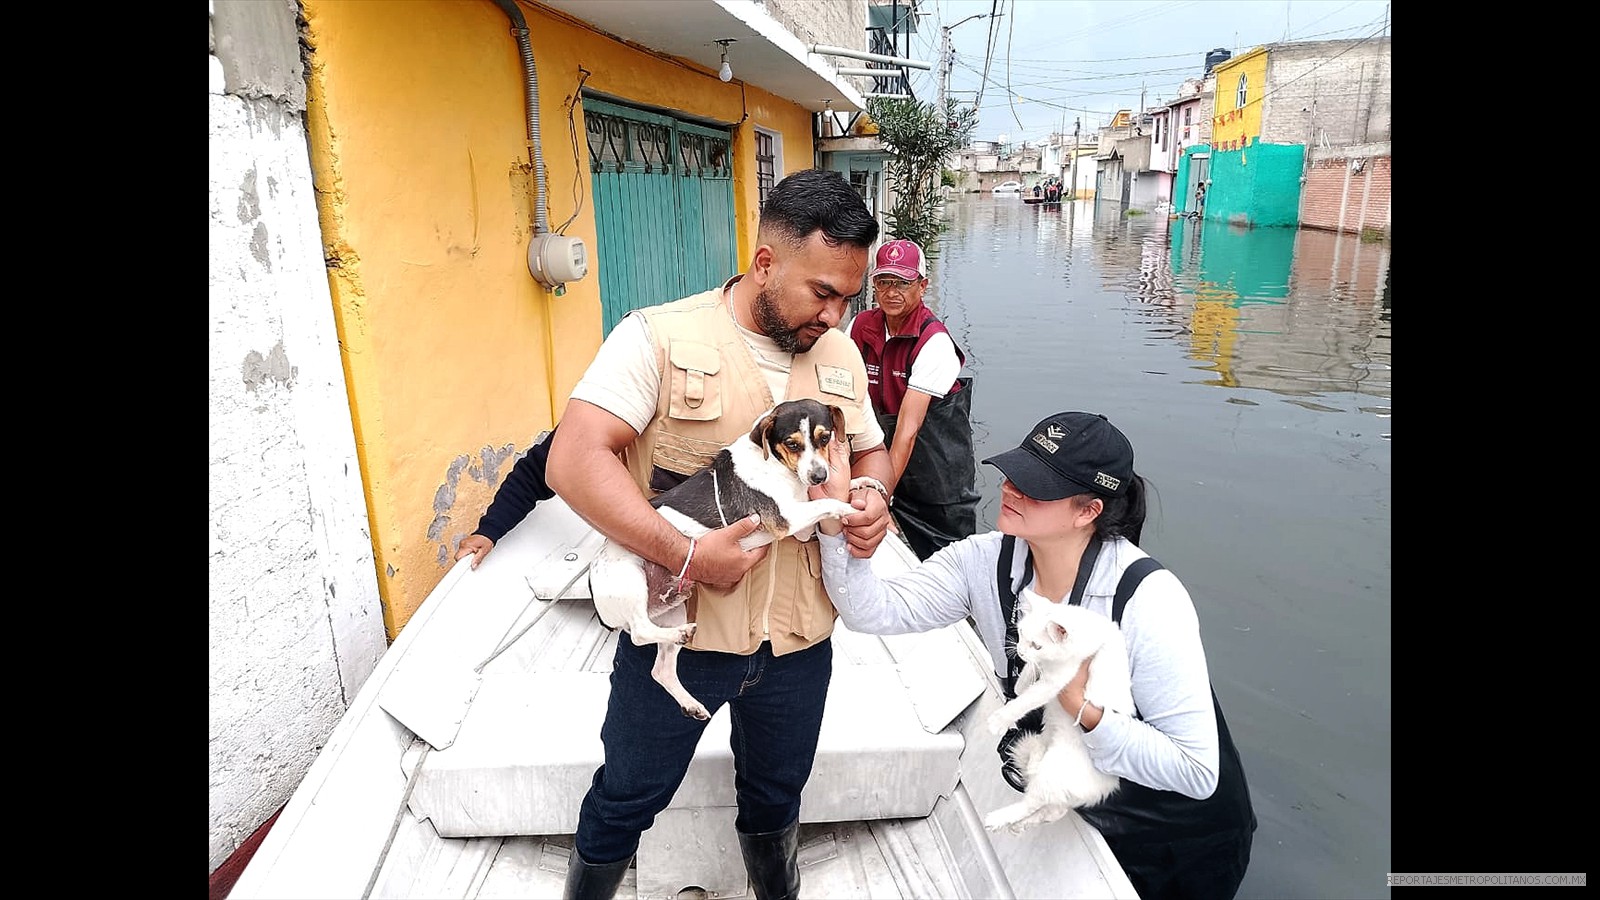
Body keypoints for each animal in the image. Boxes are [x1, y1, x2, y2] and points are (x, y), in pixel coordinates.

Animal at [592, 395, 889, 717]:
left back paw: (691, 703)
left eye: (825, 438)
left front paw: (863, 484)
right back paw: (680, 635)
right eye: (792, 444)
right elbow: (829, 502)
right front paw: (851, 509)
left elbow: (828, 498)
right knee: (639, 632)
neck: (777, 465)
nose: (819, 476)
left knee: (661, 670)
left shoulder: (799, 525)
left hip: (672, 606)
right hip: (630, 580)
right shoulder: (785, 519)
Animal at [979, 598, 1132, 832]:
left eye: (1037, 645)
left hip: (1053, 774)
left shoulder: (1057, 680)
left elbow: (1026, 700)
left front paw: (999, 720)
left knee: (1032, 804)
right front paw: (1021, 682)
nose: (1020, 651)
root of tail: (1105, 787)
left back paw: (999, 819)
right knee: (1053, 810)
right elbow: (1029, 675)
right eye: (1020, 633)